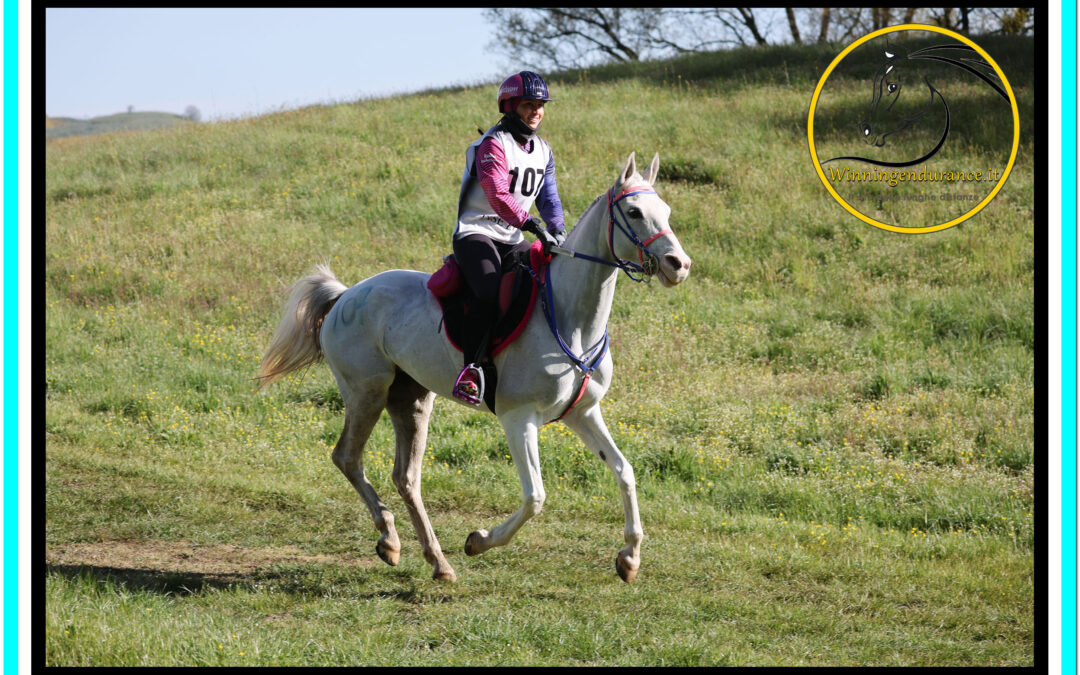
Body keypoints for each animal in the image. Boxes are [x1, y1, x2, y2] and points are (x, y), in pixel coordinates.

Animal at [261, 151, 691, 578]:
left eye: (667, 211)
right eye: (633, 212)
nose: (679, 264)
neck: (571, 319)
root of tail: (346, 295)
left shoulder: (582, 412)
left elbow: (624, 471)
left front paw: (630, 557)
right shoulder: (518, 418)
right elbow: (535, 496)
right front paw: (479, 540)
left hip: (412, 400)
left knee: (406, 477)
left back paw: (437, 561)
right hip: (367, 392)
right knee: (348, 458)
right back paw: (390, 539)